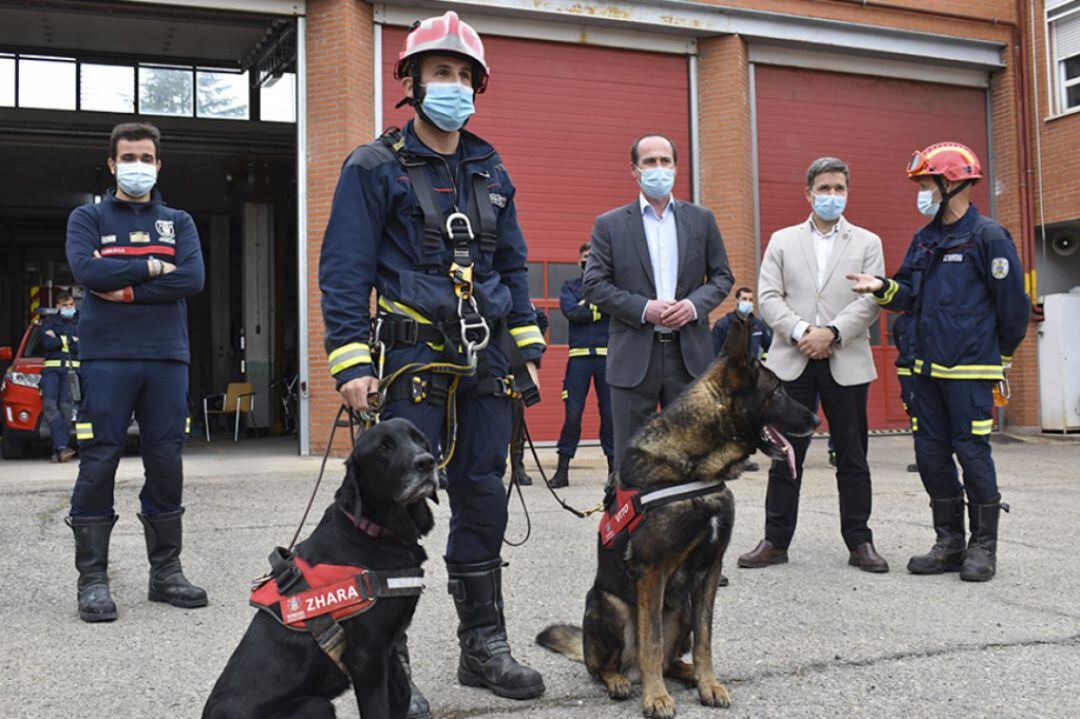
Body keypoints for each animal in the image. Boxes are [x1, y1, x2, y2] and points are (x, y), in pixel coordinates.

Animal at [203, 414, 438, 716]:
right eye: (384, 448)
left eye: (419, 439)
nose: (426, 462)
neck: (372, 531)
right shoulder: (367, 655)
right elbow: (377, 707)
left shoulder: (388, 644)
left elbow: (401, 692)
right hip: (316, 705)